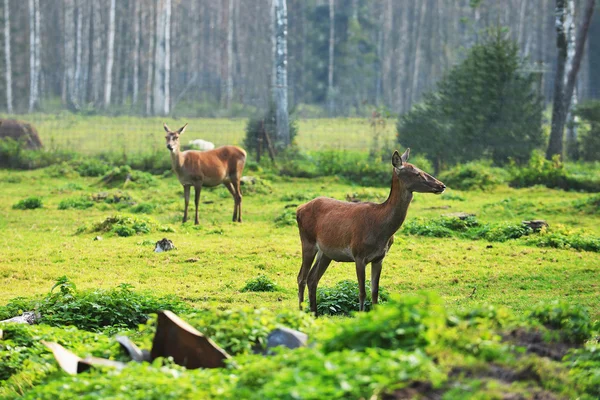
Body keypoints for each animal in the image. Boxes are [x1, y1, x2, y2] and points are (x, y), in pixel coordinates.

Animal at [296, 148, 446, 314]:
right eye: (417, 173)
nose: (442, 185)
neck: (381, 229)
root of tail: (299, 209)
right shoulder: (358, 255)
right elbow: (362, 292)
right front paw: (361, 315)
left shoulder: (379, 257)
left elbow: (375, 291)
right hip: (307, 241)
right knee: (301, 277)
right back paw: (301, 311)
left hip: (326, 253)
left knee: (312, 278)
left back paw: (314, 313)